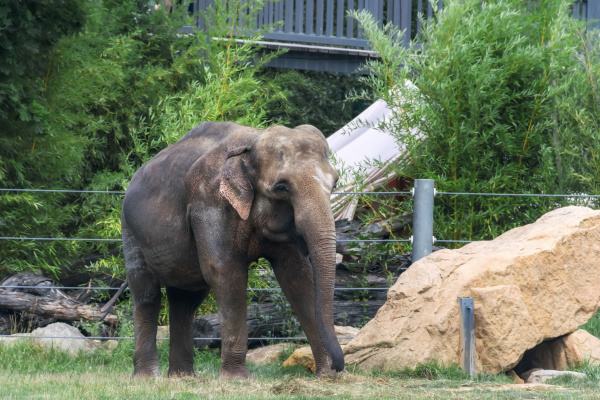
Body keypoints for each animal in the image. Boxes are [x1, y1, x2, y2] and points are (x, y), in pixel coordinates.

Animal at [122, 121, 344, 378]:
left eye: (335, 184)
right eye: (282, 187)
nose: (339, 367)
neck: (253, 142)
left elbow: (297, 276)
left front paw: (326, 376)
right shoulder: (209, 202)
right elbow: (225, 272)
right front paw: (237, 379)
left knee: (185, 300)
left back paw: (181, 378)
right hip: (130, 231)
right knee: (146, 294)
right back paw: (148, 377)